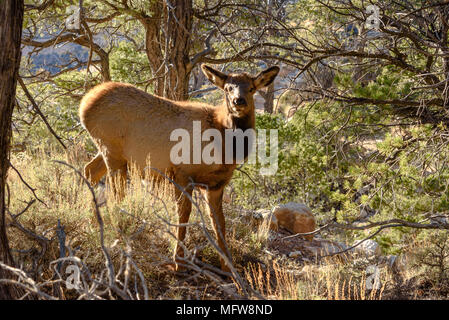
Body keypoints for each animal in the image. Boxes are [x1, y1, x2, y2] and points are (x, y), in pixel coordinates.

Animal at [79, 63, 278, 272]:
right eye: (227, 88)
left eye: (251, 88)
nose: (238, 101)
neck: (223, 145)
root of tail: (84, 104)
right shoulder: (183, 173)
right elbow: (183, 214)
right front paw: (178, 261)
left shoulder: (216, 184)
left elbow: (219, 222)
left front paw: (228, 265)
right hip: (111, 148)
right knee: (116, 192)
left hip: (111, 152)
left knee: (90, 170)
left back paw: (90, 220)